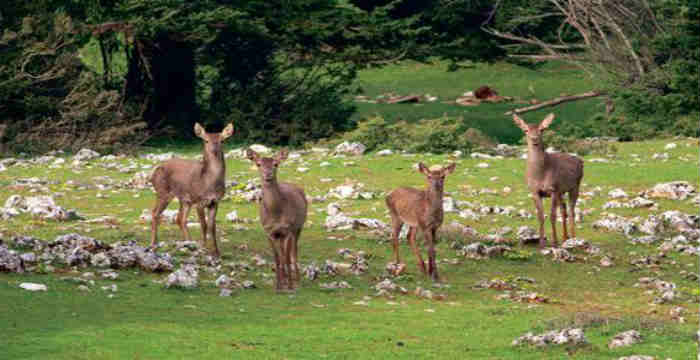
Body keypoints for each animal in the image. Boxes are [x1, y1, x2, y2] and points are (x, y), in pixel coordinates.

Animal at [149, 122, 234, 258]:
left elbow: (212, 227)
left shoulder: (215, 202)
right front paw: (204, 248)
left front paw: (216, 252)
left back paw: (188, 243)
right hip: (163, 192)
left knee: (180, 219)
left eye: (222, 140)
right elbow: (204, 225)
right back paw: (153, 244)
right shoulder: (200, 201)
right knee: (155, 213)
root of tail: (153, 172)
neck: (209, 183)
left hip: (184, 199)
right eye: (206, 140)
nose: (214, 150)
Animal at [249, 148, 308, 292]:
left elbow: (286, 257)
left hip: (298, 227)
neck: (275, 214)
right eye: (258, 164)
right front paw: (278, 286)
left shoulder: (288, 229)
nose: (268, 175)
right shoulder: (269, 231)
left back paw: (297, 279)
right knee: (282, 253)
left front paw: (291, 286)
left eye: (276, 164)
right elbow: (277, 258)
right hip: (280, 235)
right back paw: (285, 278)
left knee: (293, 252)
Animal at [516, 112, 584, 248]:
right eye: (525, 130)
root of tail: (581, 161)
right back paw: (565, 237)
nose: (534, 139)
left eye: (542, 129)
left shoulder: (553, 189)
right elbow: (540, 216)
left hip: (575, 186)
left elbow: (552, 215)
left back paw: (573, 238)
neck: (540, 175)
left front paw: (554, 242)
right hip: (561, 191)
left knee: (572, 210)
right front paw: (541, 243)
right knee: (564, 209)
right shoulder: (534, 191)